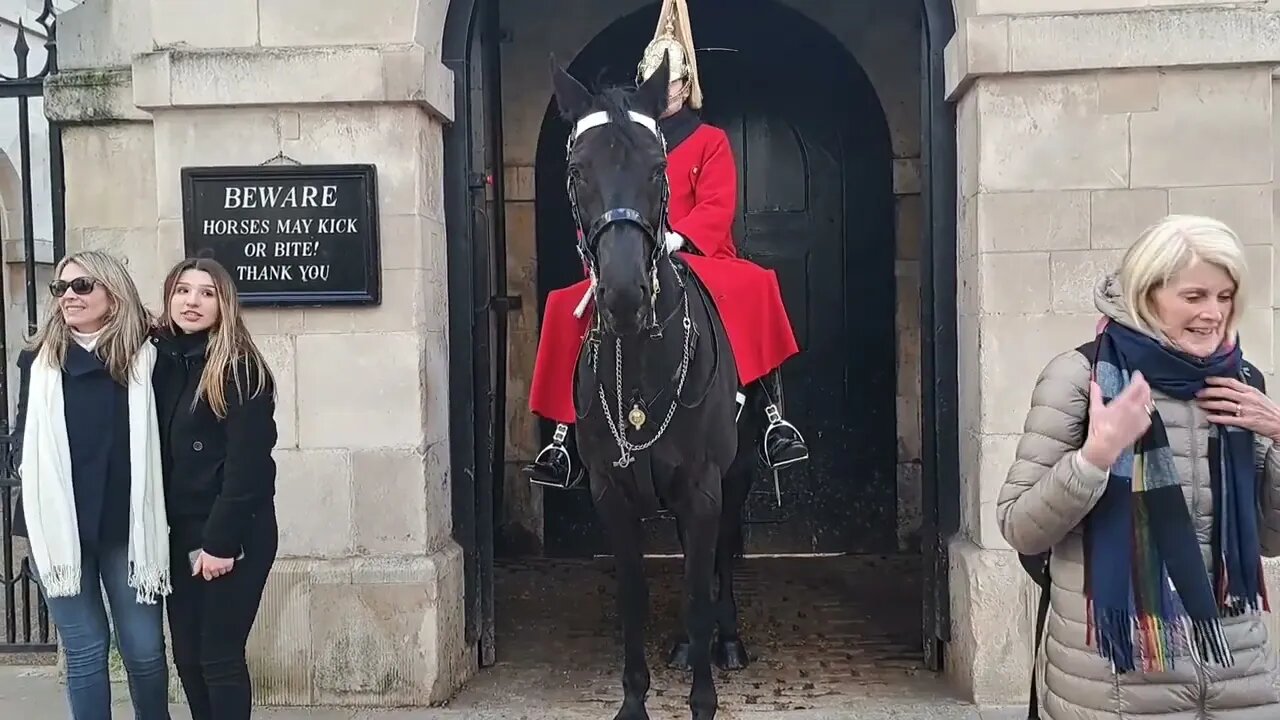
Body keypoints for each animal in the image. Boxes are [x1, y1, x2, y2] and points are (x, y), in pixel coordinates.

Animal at [545, 56, 762, 717]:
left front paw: (702, 698)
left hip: (737, 473)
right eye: (578, 170)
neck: (640, 361)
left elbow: (695, 589)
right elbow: (633, 598)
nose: (622, 297)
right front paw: (635, 699)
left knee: (718, 558)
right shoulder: (612, 495)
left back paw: (726, 640)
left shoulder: (704, 486)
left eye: (658, 168)